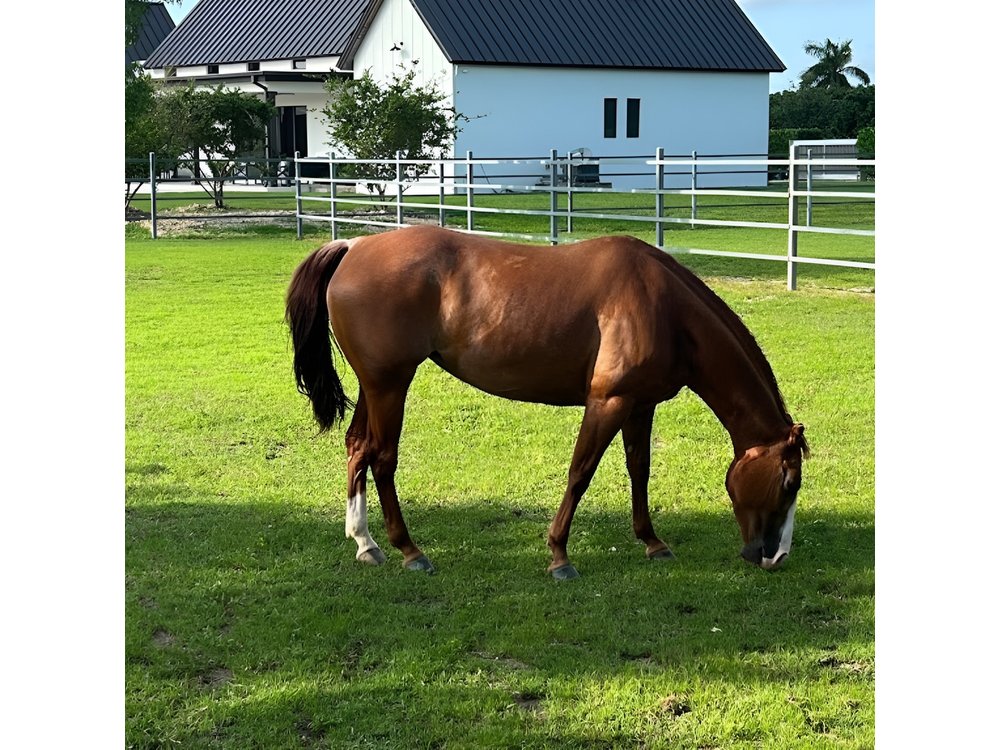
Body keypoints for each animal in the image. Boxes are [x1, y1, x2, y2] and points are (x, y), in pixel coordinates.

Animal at [286, 225, 808, 579]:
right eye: (788, 483)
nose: (776, 556)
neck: (664, 308)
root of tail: (354, 247)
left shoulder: (641, 405)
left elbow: (639, 470)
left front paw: (652, 541)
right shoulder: (608, 402)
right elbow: (580, 473)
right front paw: (559, 555)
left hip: (376, 385)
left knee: (358, 447)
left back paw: (365, 542)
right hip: (390, 385)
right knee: (383, 458)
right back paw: (409, 550)